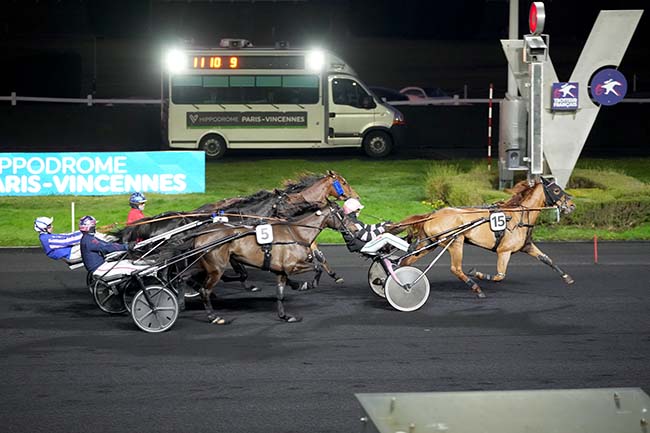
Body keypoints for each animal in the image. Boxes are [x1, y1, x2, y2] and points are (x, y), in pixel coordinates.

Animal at [192, 201, 344, 322]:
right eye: (341, 213)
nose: (348, 229)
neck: (297, 232)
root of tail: (199, 236)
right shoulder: (291, 266)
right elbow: (317, 267)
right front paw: (309, 284)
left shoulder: (281, 271)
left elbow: (280, 294)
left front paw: (285, 316)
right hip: (216, 269)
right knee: (204, 290)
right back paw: (213, 316)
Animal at [394, 177, 572, 298]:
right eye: (556, 190)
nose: (571, 205)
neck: (519, 215)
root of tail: (432, 215)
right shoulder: (504, 251)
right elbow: (500, 276)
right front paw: (477, 273)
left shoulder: (526, 246)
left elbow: (547, 259)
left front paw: (567, 277)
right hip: (455, 241)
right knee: (456, 269)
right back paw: (476, 288)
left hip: (429, 244)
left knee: (406, 261)